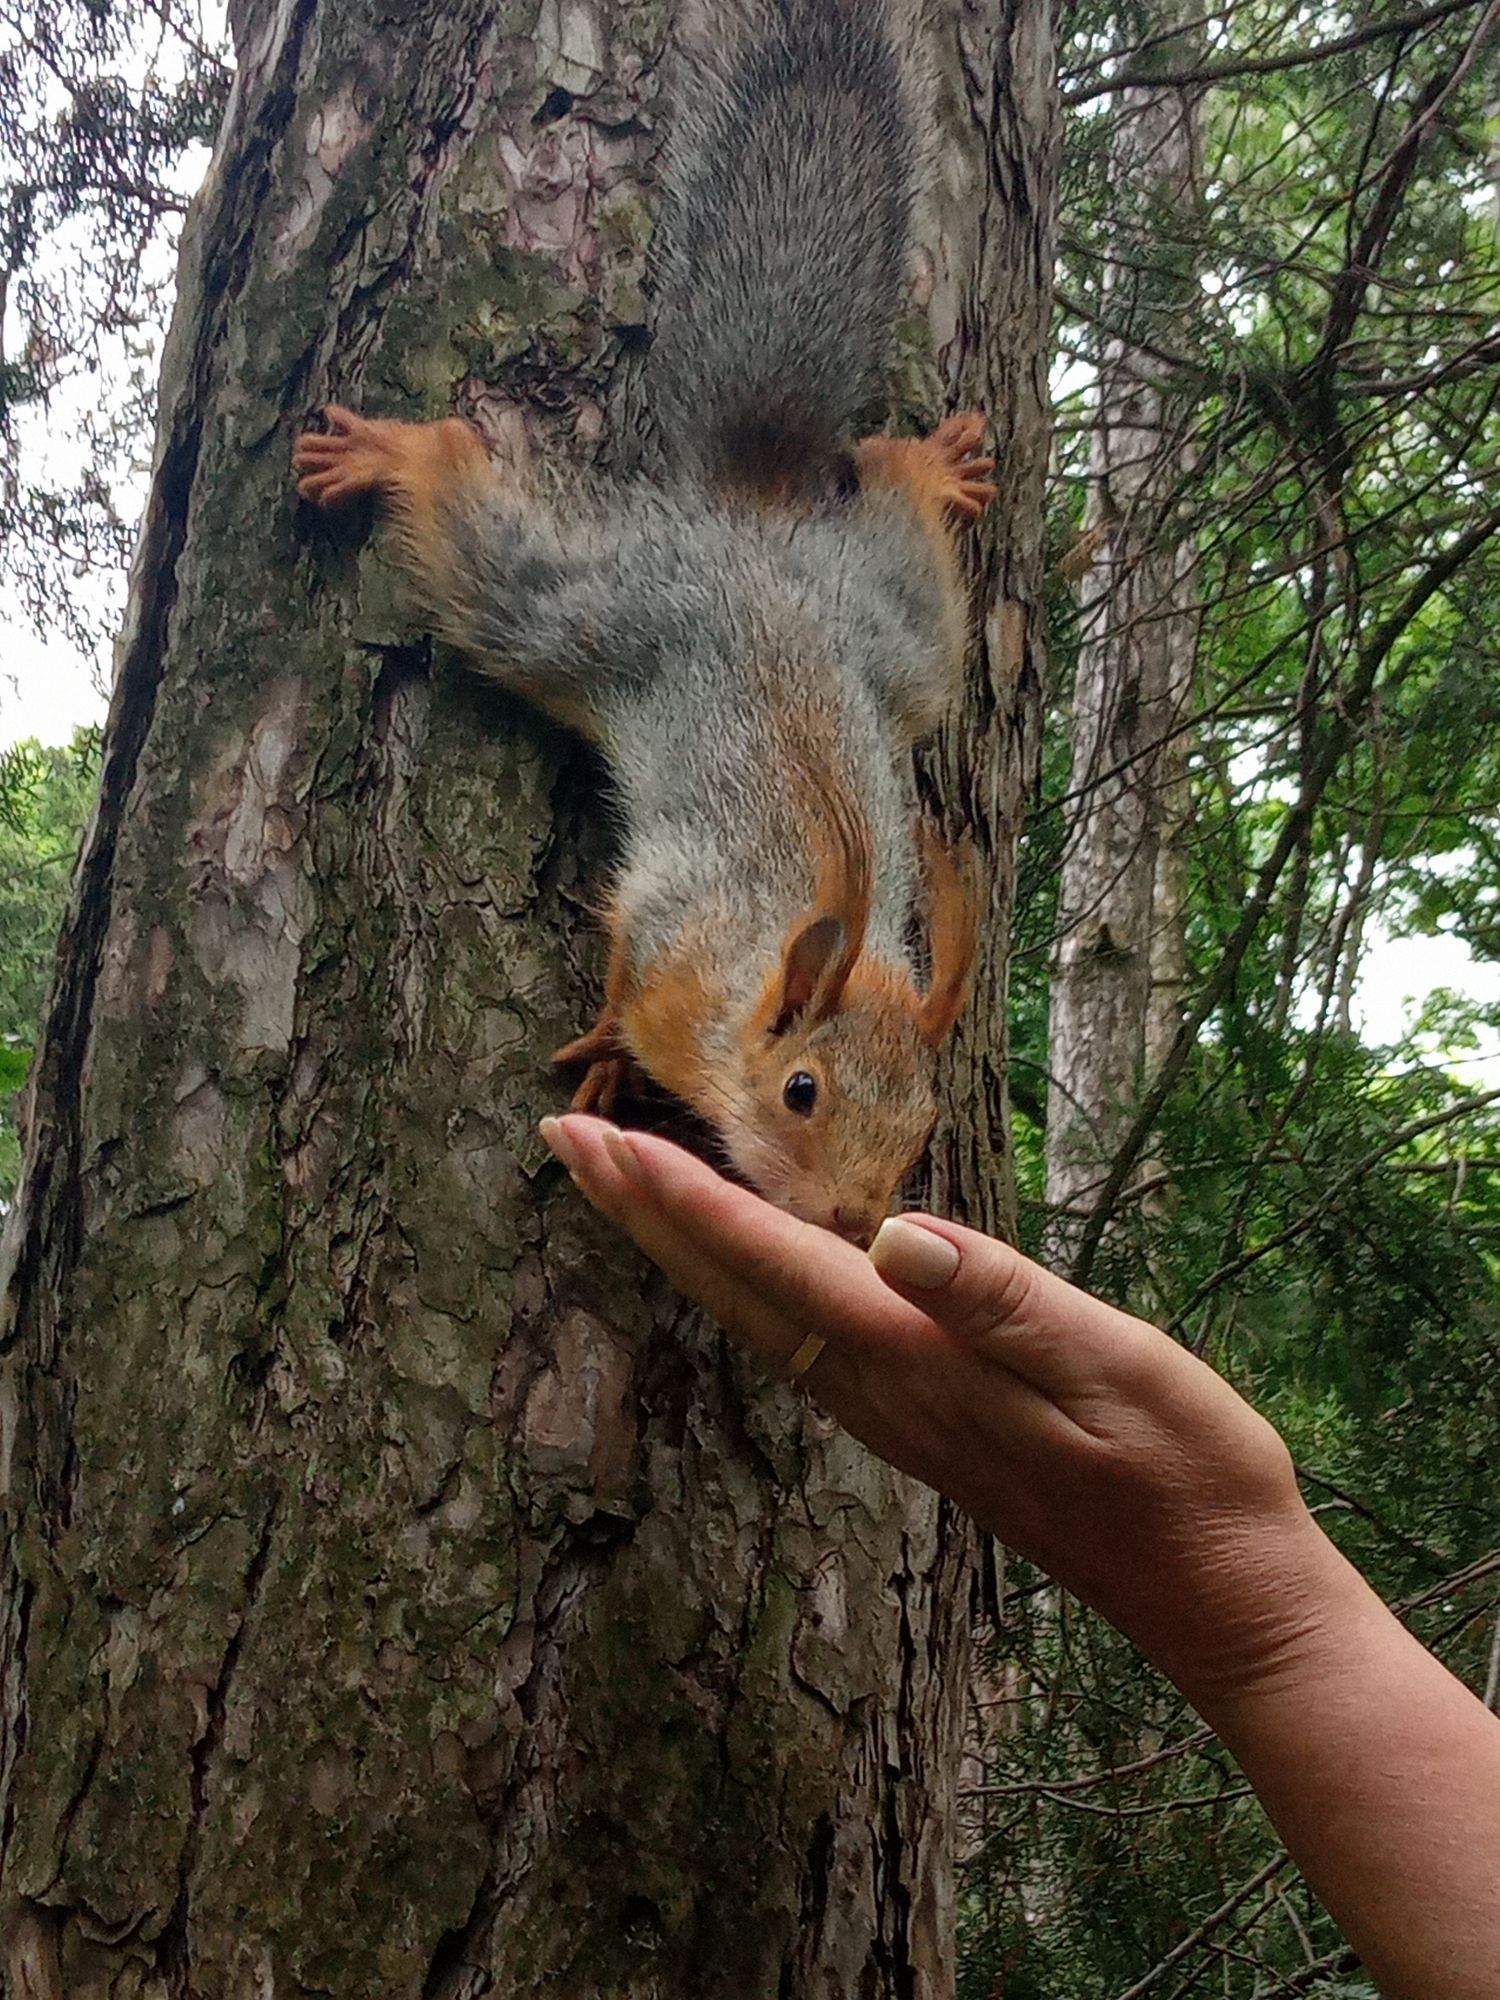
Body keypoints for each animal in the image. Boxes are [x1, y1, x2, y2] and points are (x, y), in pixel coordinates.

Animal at [292, 0, 994, 1249]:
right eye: (801, 1090)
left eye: (922, 1128)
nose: (849, 1221)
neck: (757, 974)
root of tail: (751, 525)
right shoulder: (670, 923)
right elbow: (625, 956)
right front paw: (615, 1054)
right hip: (589, 612)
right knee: (481, 534)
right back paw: (395, 454)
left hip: (895, 632)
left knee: (912, 562)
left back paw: (931, 469)